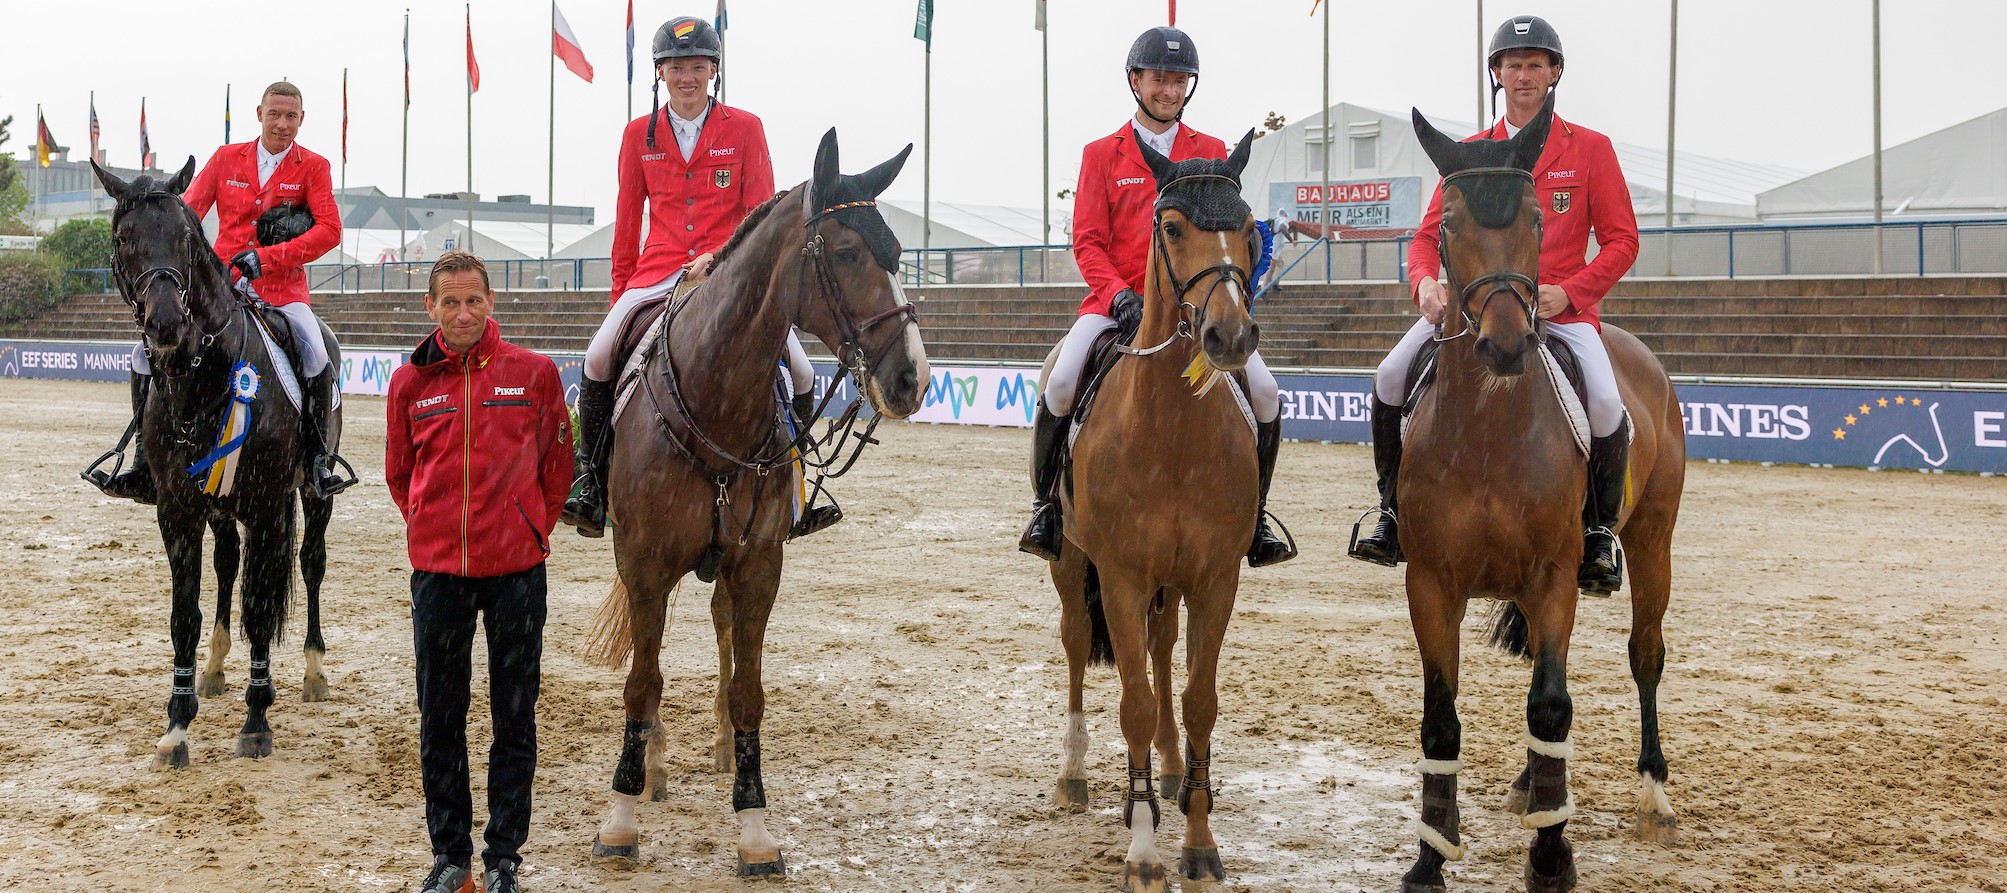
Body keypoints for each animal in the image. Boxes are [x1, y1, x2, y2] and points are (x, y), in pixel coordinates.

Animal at [88, 160, 341, 766]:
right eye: (123, 239)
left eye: (186, 237)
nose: (165, 324)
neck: (200, 376)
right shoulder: (178, 510)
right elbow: (185, 614)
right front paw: (178, 723)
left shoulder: (268, 507)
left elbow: (260, 608)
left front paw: (256, 721)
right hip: (222, 508)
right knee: (228, 566)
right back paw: (216, 666)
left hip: (310, 495)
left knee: (310, 564)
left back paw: (313, 671)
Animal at [578, 128, 927, 874]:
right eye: (848, 253)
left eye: (897, 254)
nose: (911, 378)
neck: (717, 397)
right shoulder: (644, 563)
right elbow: (642, 682)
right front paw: (619, 818)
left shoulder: (760, 565)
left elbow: (748, 690)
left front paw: (754, 825)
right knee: (650, 664)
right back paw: (651, 767)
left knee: (717, 630)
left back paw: (712, 746)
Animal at [1043, 132, 1260, 890]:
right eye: (1170, 228)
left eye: (1250, 227)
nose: (1230, 337)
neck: (1172, 433)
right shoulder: (1121, 576)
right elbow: (1133, 702)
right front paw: (1141, 847)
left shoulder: (1216, 577)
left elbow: (1198, 699)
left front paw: (1197, 836)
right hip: (1073, 564)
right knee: (1077, 643)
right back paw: (1075, 775)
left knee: (1164, 650)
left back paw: (1168, 769)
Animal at [1396, 97, 1693, 890]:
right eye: (1445, 225)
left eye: (1536, 216)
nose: (1504, 344)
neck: (1490, 431)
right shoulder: (1431, 582)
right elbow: (1441, 718)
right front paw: (1430, 855)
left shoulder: (1555, 573)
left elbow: (1553, 706)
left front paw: (1552, 855)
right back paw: (1532, 784)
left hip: (1651, 539)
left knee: (1643, 652)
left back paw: (1652, 792)